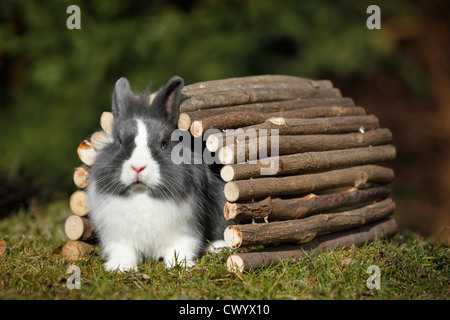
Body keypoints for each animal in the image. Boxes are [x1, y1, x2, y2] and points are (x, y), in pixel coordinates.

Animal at [86, 76, 232, 272]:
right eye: (119, 142)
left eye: (163, 144)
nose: (138, 167)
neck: (141, 195)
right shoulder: (119, 237)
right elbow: (123, 251)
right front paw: (119, 267)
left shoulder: (185, 232)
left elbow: (181, 248)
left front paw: (179, 265)